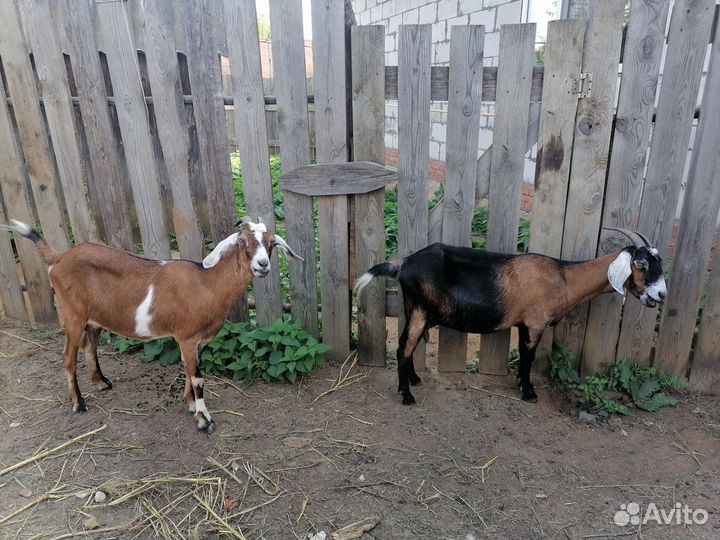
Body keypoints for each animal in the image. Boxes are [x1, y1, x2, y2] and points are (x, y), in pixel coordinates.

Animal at [2, 219, 302, 432]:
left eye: (272, 243)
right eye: (243, 241)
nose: (262, 264)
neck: (208, 284)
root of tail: (57, 258)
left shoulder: (190, 340)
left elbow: (188, 370)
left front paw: (189, 403)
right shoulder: (187, 336)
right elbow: (198, 377)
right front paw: (204, 420)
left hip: (94, 318)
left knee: (90, 346)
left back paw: (101, 383)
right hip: (72, 314)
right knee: (68, 356)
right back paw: (78, 403)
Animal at [355, 228, 667, 405]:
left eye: (659, 263)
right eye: (641, 263)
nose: (662, 295)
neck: (563, 278)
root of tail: (403, 263)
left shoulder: (525, 325)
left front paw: (520, 385)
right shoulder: (534, 324)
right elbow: (528, 359)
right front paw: (528, 392)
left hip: (417, 311)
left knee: (407, 345)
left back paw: (415, 380)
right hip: (420, 311)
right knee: (402, 348)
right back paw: (407, 395)